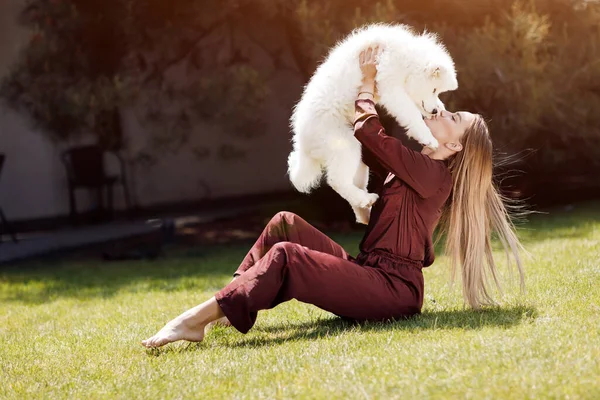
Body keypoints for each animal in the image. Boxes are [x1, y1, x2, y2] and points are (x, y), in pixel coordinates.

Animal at [288, 23, 458, 225]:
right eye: (434, 89)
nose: (434, 112)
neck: (406, 58)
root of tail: (303, 145)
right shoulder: (391, 86)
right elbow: (410, 113)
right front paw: (428, 138)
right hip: (344, 144)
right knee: (337, 181)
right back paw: (366, 200)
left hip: (358, 158)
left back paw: (365, 213)